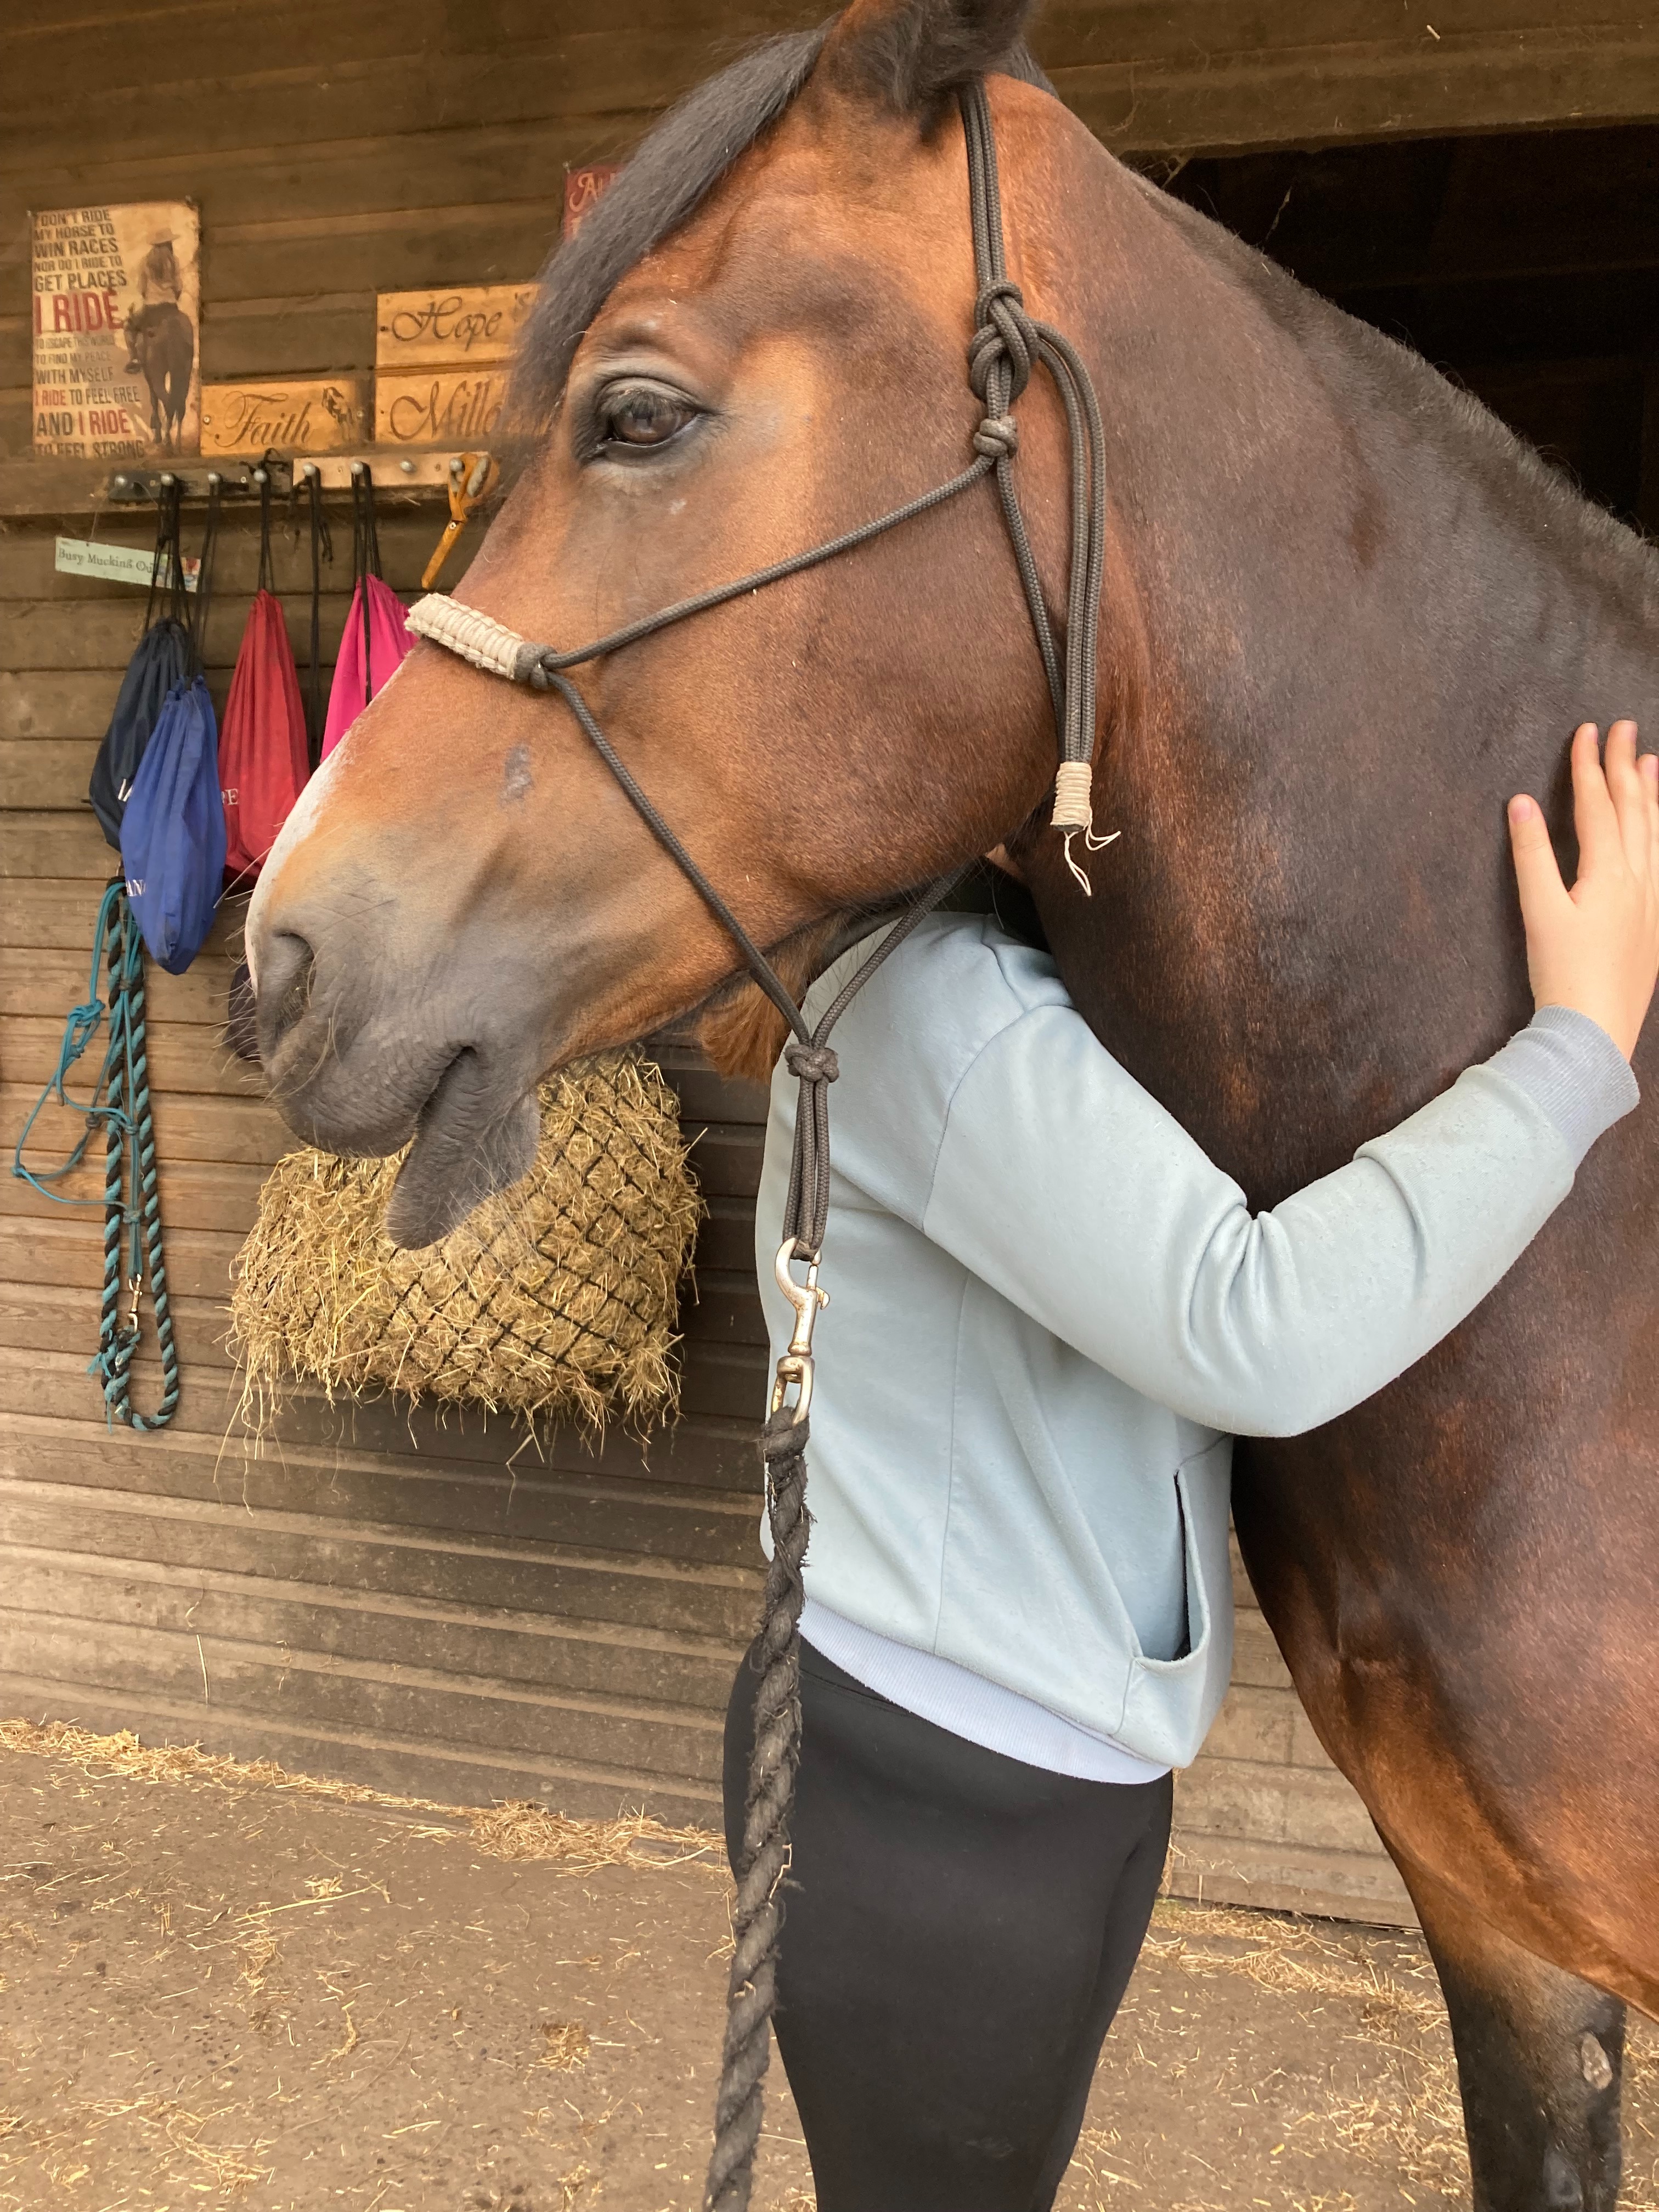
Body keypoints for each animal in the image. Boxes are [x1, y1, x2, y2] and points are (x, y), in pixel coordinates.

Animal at [123, 301, 194, 452]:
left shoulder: (148, 372)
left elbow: (153, 399)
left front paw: (156, 433)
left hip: (158, 373)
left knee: (168, 402)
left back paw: (167, 441)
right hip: (184, 372)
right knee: (180, 405)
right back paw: (178, 444)